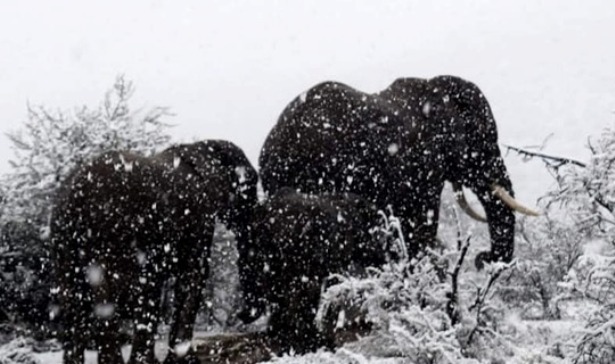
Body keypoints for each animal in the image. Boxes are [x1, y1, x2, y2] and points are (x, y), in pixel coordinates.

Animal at [49, 140, 258, 364]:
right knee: (112, 298)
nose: (243, 315)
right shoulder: (199, 221)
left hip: (64, 243)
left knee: (73, 302)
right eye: (251, 189)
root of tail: (74, 198)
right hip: (113, 236)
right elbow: (194, 276)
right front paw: (183, 359)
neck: (200, 147)